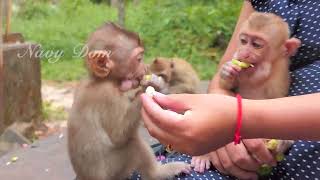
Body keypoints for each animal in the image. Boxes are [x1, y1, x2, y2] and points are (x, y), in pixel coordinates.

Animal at [67, 22, 190, 180]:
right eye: (139, 59)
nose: (145, 68)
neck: (103, 80)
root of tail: (83, 177)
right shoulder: (107, 97)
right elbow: (117, 135)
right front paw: (148, 88)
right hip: (114, 169)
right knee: (132, 143)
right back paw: (158, 173)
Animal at [192, 11, 300, 174]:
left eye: (256, 45)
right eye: (243, 41)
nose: (243, 52)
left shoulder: (279, 76)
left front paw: (283, 140)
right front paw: (227, 71)